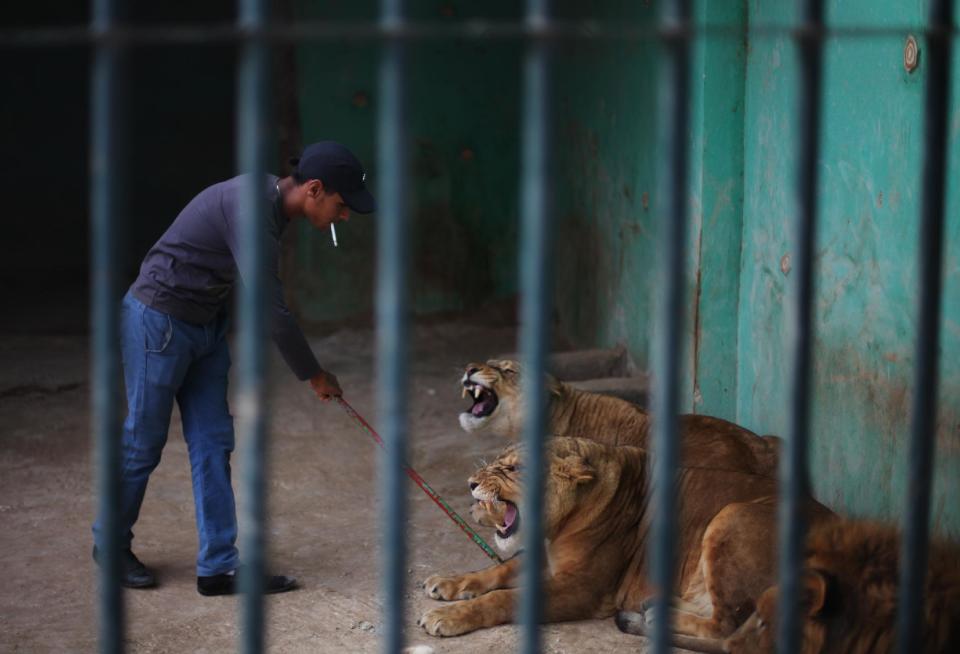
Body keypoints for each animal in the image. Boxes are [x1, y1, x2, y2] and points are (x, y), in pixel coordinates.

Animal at [420, 438, 832, 644]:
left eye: (515, 468)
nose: (470, 484)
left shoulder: (582, 589)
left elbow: (504, 598)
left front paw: (447, 617)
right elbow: (498, 570)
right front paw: (448, 582)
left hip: (732, 515)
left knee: (726, 625)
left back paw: (657, 617)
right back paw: (653, 606)